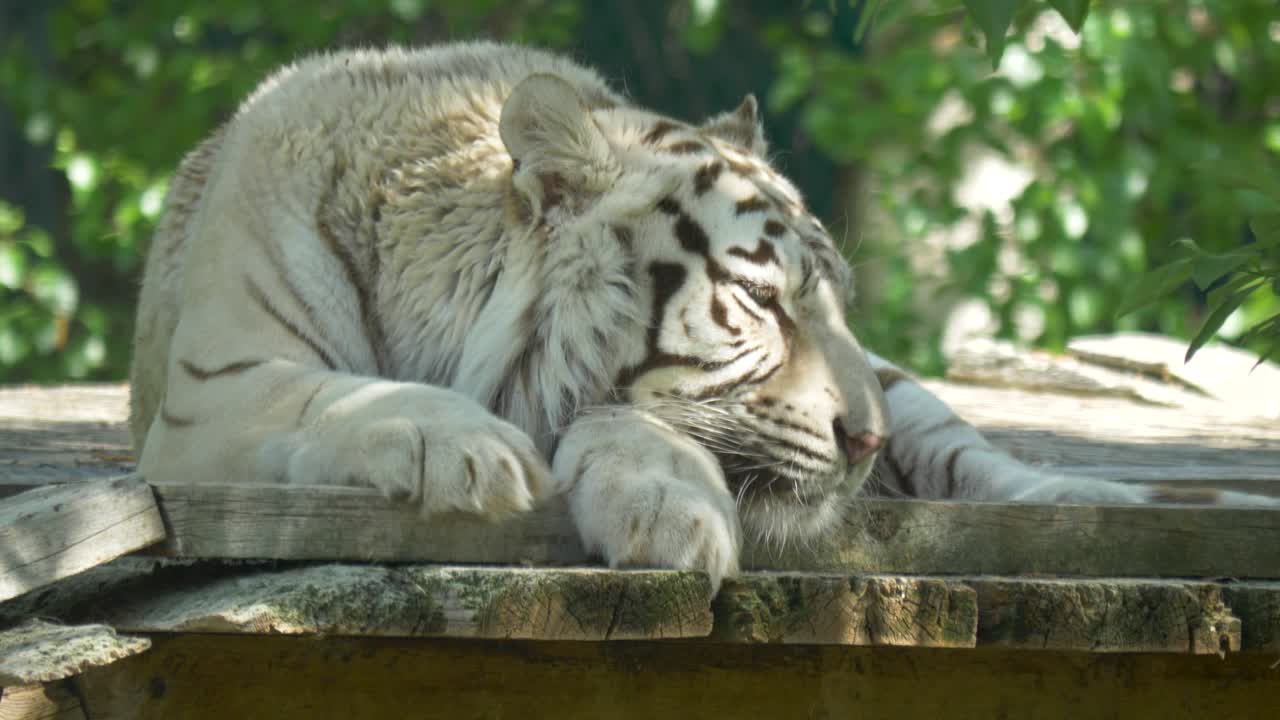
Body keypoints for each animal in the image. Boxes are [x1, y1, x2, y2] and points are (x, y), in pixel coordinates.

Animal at [129, 42, 1275, 591]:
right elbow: (338, 395)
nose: (864, 445)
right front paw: (464, 448)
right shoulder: (214, 397)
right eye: (762, 300)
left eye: (835, 303)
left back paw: (1086, 502)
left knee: (975, 461)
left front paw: (669, 507)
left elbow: (629, 417)